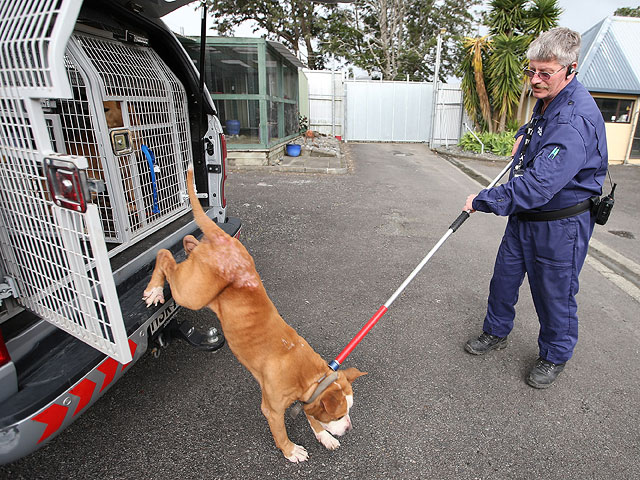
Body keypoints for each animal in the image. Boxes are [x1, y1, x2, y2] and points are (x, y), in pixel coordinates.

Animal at [143, 171, 368, 464]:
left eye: (349, 412)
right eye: (340, 415)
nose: (349, 428)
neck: (309, 376)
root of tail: (222, 238)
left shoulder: (308, 398)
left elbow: (312, 417)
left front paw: (324, 436)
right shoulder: (272, 409)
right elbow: (281, 432)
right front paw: (291, 450)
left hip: (201, 272)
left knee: (188, 244)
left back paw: (185, 250)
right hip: (191, 293)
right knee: (164, 255)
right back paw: (154, 290)